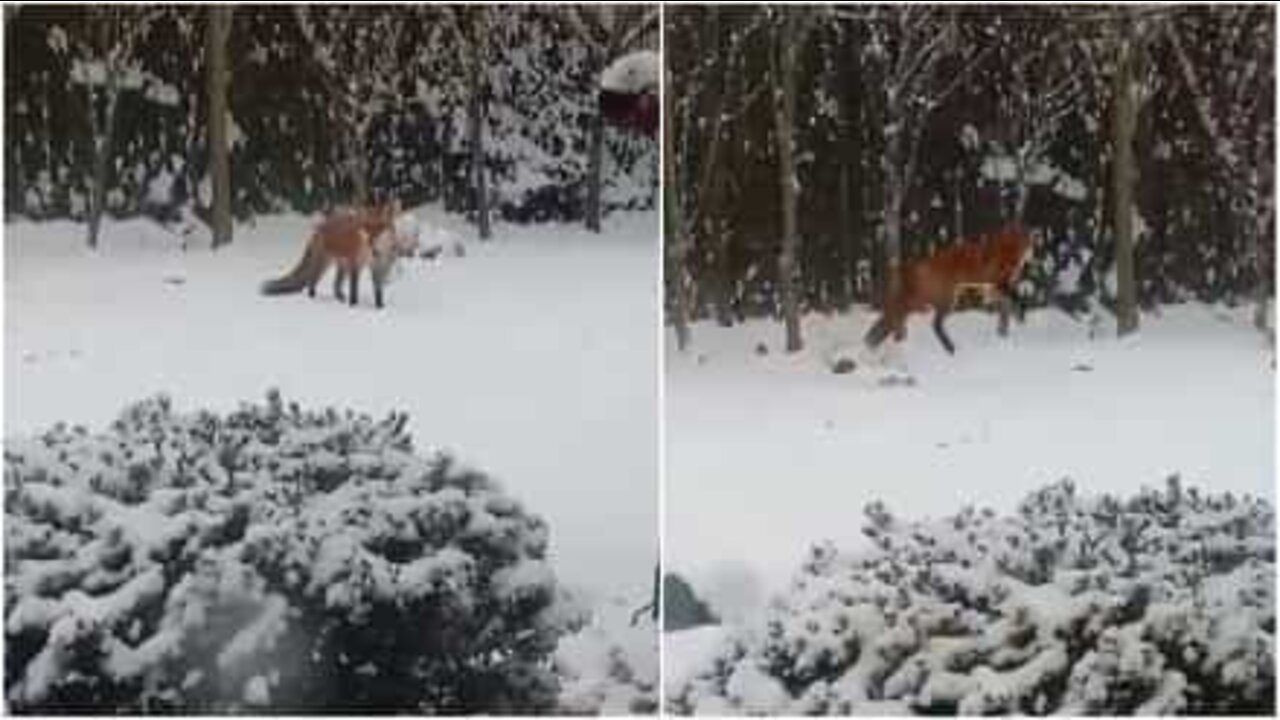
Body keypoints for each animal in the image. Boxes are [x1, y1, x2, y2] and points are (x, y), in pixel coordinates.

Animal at [259, 199, 414, 307]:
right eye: (367, 227)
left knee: (335, 286)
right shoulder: (355, 264)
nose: (371, 241)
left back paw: (340, 299)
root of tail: (318, 227)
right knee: (311, 283)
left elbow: (378, 291)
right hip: (324, 264)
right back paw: (313, 298)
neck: (375, 253)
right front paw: (353, 306)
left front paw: (380, 308)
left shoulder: (379, 266)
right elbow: (354, 290)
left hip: (342, 267)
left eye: (381, 227)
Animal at [865, 221, 1034, 351]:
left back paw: (873, 341)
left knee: (894, 317)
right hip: (945, 299)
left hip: (927, 301)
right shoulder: (998, 282)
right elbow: (1017, 299)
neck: (1003, 251)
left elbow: (1005, 303)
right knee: (933, 324)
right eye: (1027, 241)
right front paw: (1021, 316)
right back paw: (950, 348)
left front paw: (1007, 324)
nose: (1032, 252)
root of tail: (920, 262)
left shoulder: (993, 286)